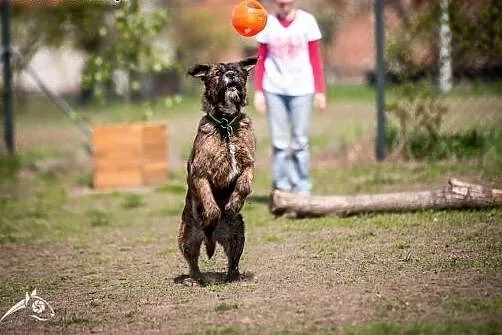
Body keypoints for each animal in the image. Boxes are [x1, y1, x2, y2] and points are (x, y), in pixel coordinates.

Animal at [177, 55, 256, 286]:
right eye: (218, 73)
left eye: (238, 70)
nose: (230, 74)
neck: (225, 124)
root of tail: (213, 237)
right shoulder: (200, 174)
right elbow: (210, 202)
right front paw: (212, 216)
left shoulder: (248, 165)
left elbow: (244, 185)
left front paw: (232, 204)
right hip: (187, 238)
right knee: (193, 262)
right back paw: (195, 279)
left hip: (238, 234)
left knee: (233, 262)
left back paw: (236, 277)